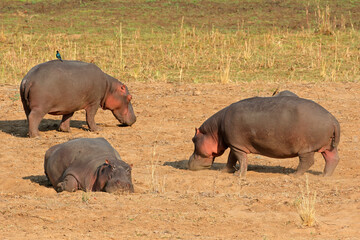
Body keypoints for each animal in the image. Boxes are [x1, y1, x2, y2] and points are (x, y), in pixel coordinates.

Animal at [188, 92, 340, 176]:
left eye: (193, 139)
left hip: (306, 149)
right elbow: (231, 159)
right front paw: (225, 171)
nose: (188, 162)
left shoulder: (236, 145)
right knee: (332, 159)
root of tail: (333, 120)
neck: (215, 130)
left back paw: (294, 175)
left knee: (307, 162)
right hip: (328, 147)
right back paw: (324, 176)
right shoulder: (235, 144)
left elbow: (241, 160)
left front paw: (239, 175)